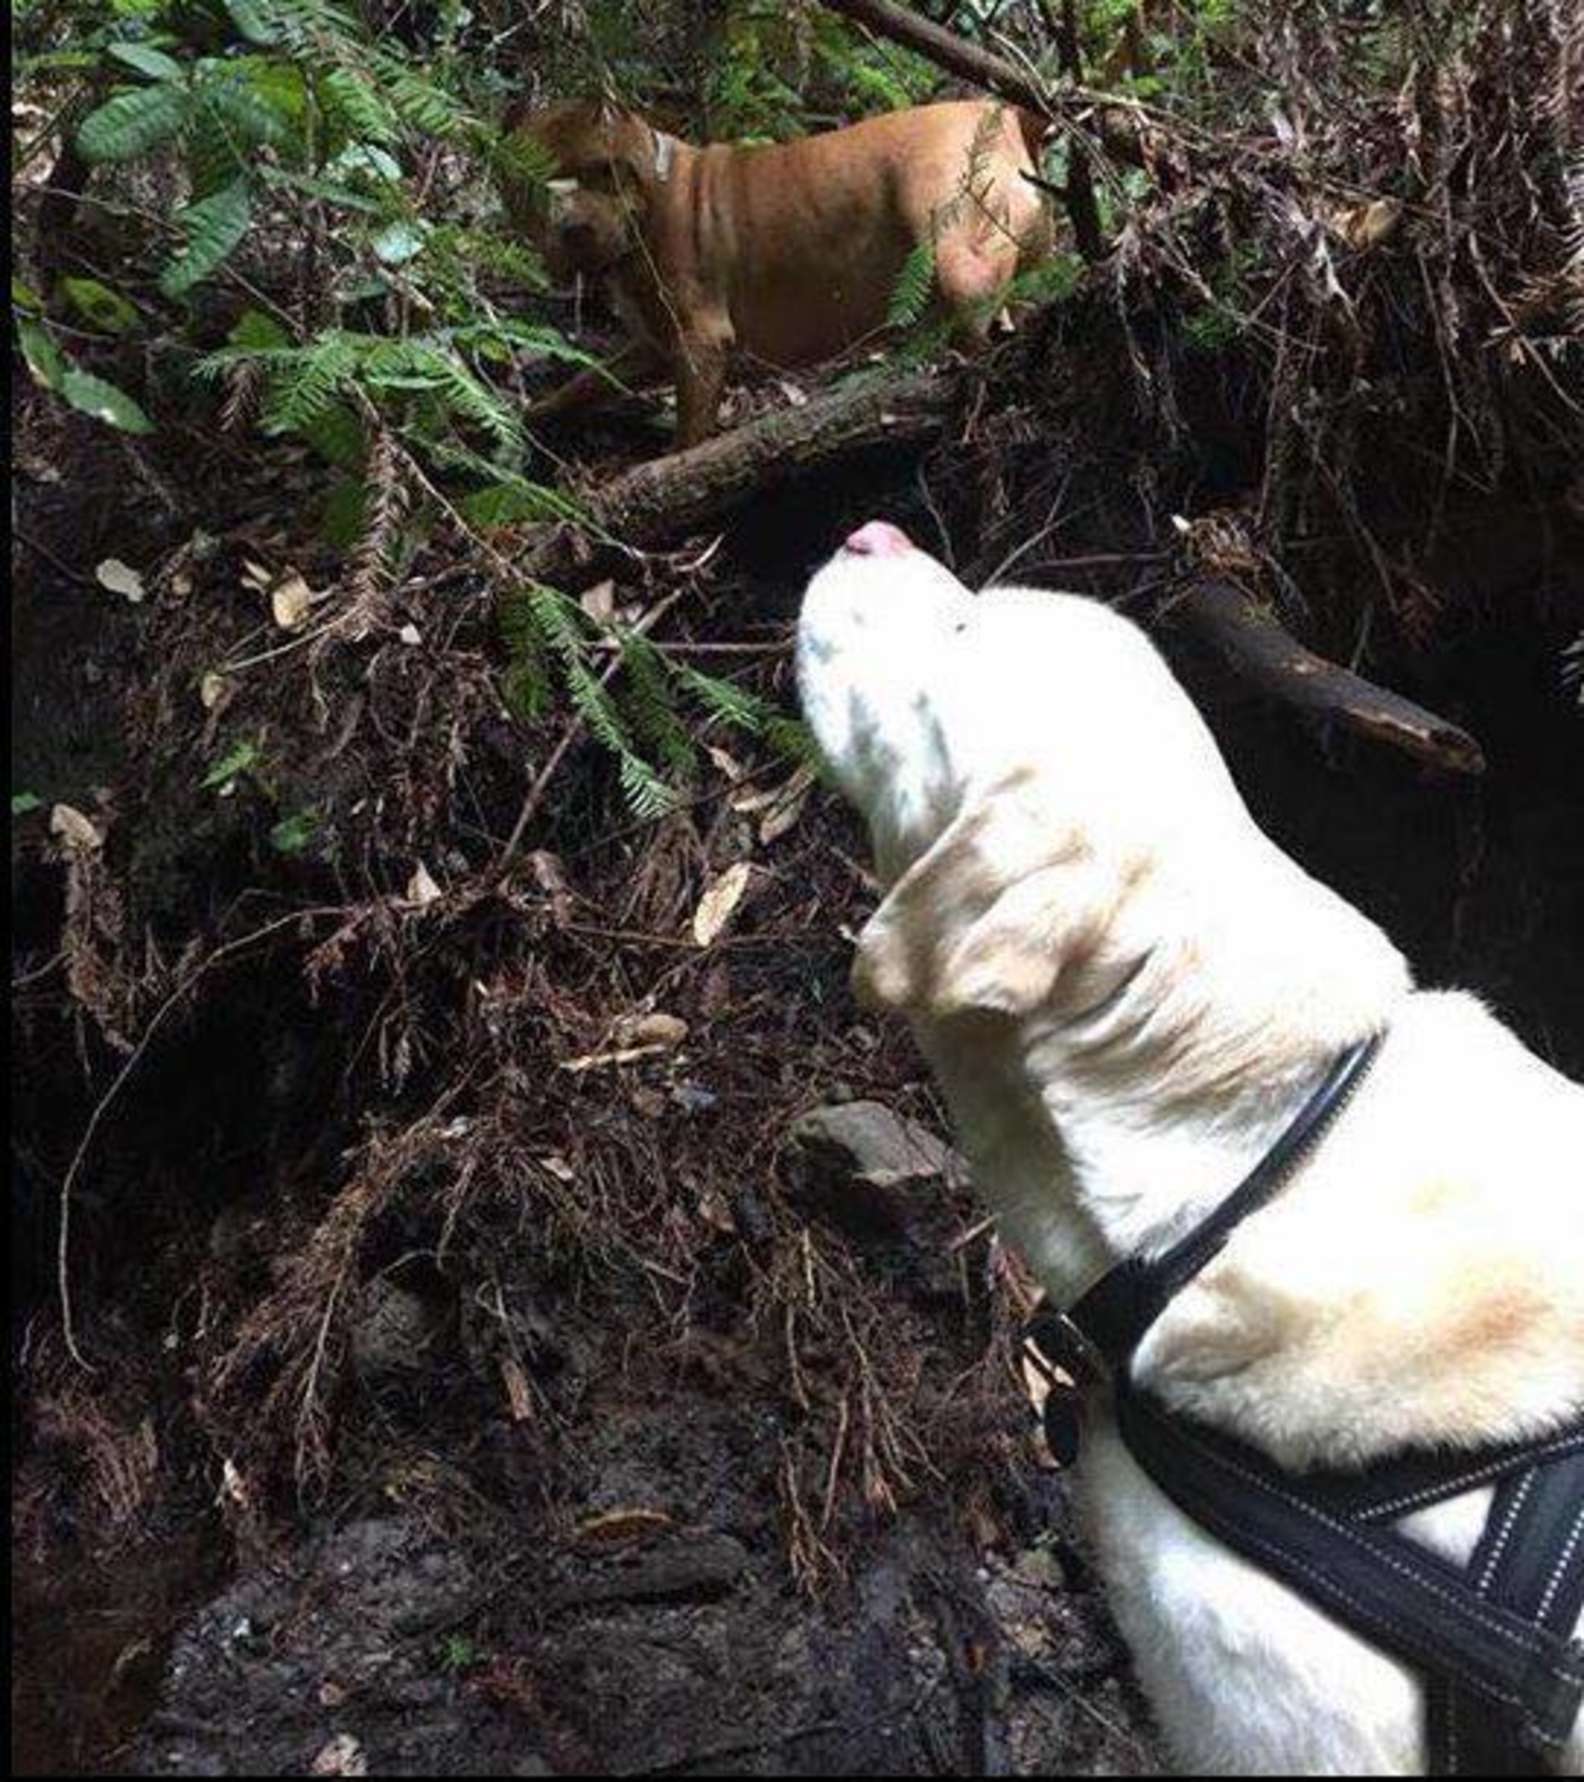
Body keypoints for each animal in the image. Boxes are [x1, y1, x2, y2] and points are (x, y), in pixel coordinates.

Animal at [498, 95, 1054, 452]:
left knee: (977, 308)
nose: (574, 227)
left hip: (949, 243)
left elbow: (688, 434)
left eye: (603, 170)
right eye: (529, 185)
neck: (651, 198)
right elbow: (586, 381)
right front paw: (530, 416)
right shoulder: (651, 344)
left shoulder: (700, 341)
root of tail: (999, 112)